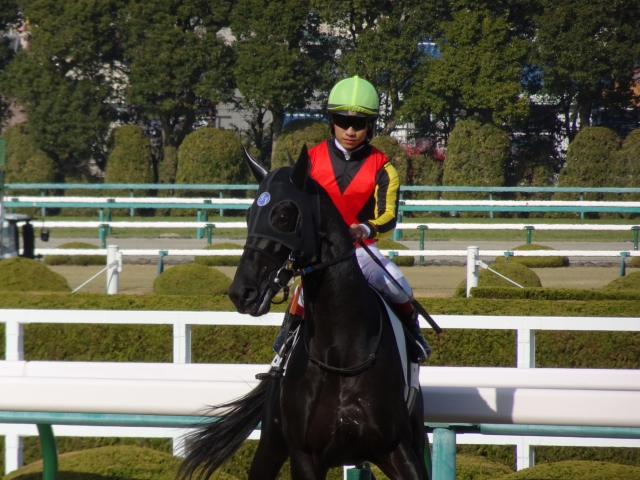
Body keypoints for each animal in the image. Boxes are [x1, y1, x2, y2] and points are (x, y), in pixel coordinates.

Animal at [178, 146, 428, 480]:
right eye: (248, 215)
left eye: (283, 215)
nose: (242, 292)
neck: (340, 355)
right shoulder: (304, 454)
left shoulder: (397, 446)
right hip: (271, 442)